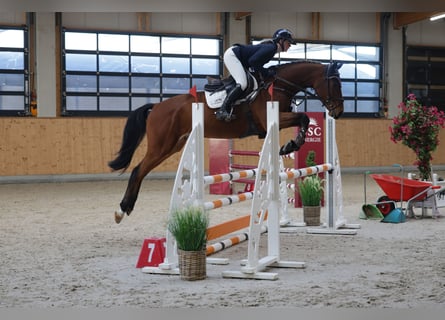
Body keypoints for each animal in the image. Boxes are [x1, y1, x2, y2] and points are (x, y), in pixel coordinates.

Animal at [108, 60, 344, 222]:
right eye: (335, 84)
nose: (338, 112)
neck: (279, 85)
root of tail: (156, 106)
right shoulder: (271, 119)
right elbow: (303, 117)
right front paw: (291, 144)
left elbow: (303, 118)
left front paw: (290, 145)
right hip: (161, 146)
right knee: (138, 170)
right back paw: (122, 209)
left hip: (173, 145)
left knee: (141, 170)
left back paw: (124, 208)